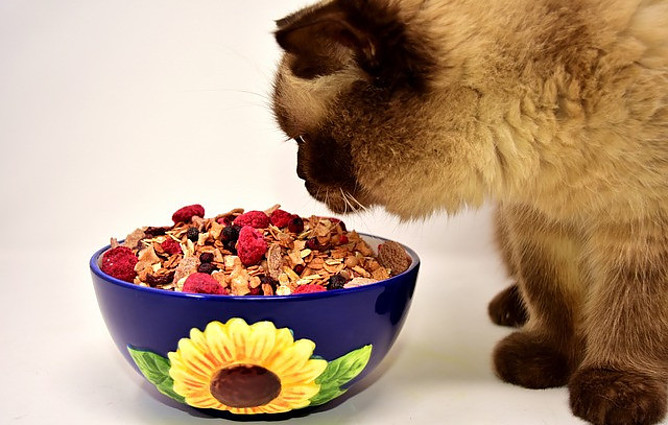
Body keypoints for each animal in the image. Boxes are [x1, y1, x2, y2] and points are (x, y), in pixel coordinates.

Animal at [272, 0, 668, 424]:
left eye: (301, 139)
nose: (299, 176)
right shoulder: (539, 222)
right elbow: (555, 299)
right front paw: (545, 360)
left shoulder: (643, 224)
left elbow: (632, 316)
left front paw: (616, 391)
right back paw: (511, 309)